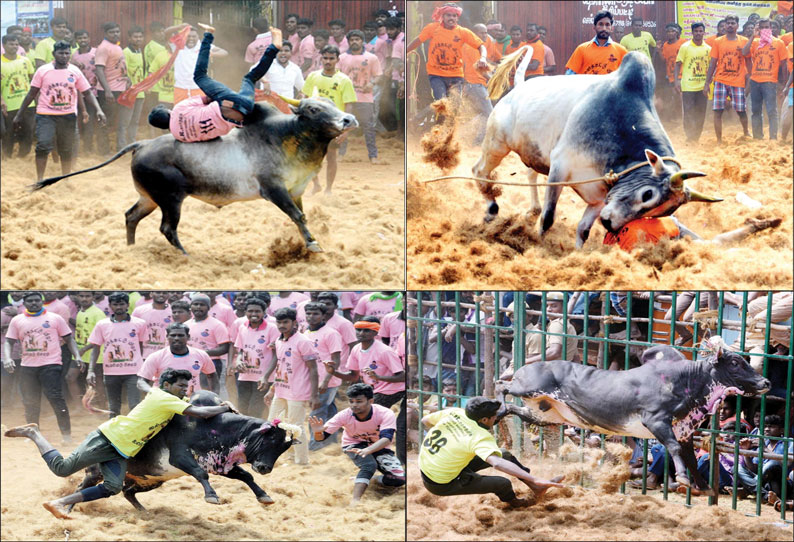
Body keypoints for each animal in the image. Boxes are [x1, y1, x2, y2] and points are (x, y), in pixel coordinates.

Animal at [31, 98, 358, 255]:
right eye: (313, 108)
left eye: (331, 102)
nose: (348, 119)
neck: (287, 136)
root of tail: (142, 144)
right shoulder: (274, 189)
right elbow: (297, 216)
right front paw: (313, 245)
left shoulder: (296, 190)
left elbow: (300, 216)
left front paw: (311, 243)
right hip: (170, 199)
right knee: (167, 228)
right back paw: (185, 255)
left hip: (149, 198)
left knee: (131, 216)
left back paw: (131, 249)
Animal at [69, 392, 300, 516]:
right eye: (271, 439)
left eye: (284, 448)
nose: (265, 468)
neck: (212, 426)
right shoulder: (181, 458)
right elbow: (200, 474)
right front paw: (212, 496)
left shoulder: (219, 463)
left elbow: (246, 476)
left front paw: (264, 496)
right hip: (96, 472)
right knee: (82, 486)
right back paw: (69, 508)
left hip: (151, 480)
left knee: (128, 492)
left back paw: (143, 511)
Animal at [474, 50, 720, 250]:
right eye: (648, 194)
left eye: (661, 213)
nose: (610, 224)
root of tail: (519, 87)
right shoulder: (560, 167)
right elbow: (549, 217)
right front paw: (540, 243)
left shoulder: (600, 200)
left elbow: (583, 230)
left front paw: (578, 253)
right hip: (497, 143)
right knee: (479, 171)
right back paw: (490, 211)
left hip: (532, 154)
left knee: (529, 174)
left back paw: (531, 208)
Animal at [496, 340, 768, 498]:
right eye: (735, 362)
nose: (765, 382)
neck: (689, 381)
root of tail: (524, 368)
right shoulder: (656, 421)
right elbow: (672, 448)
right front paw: (683, 479)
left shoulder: (685, 433)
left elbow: (690, 458)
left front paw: (702, 485)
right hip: (528, 388)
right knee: (501, 385)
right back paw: (494, 406)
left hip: (545, 413)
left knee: (515, 410)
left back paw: (499, 418)